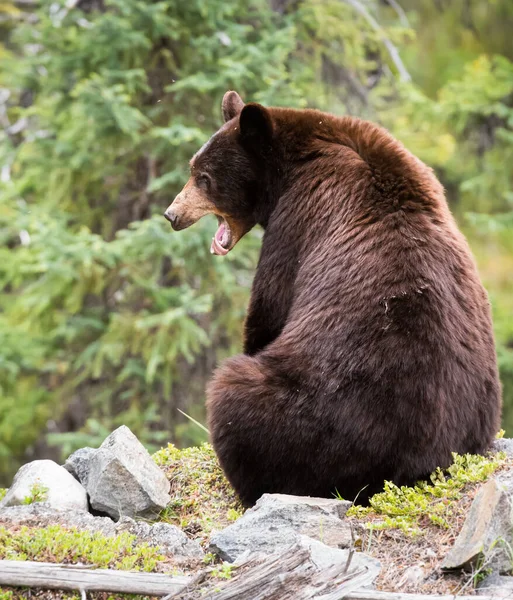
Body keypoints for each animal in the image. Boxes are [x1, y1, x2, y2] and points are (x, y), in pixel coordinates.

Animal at [164, 90, 500, 506]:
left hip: (322, 417)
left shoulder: (296, 221)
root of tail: (421, 464)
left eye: (204, 178)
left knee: (236, 396)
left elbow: (270, 307)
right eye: (193, 167)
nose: (171, 214)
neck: (291, 165)